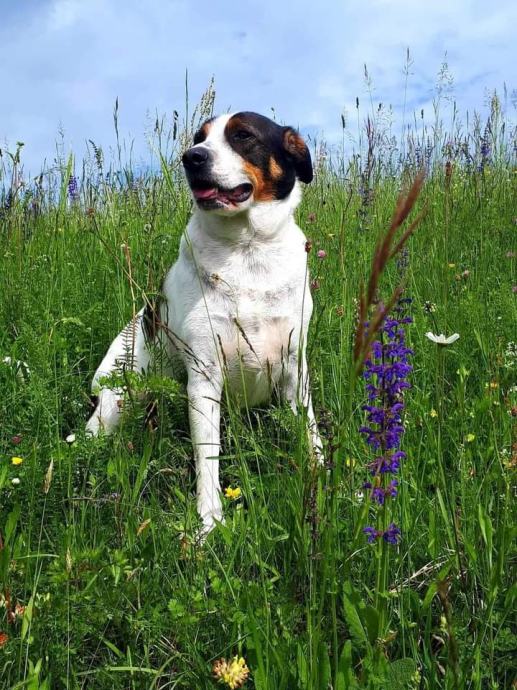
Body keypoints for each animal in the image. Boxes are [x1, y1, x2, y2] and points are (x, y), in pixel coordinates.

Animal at [87, 110, 322, 536]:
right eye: (199, 138)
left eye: (243, 136)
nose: (191, 158)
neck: (248, 251)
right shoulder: (204, 378)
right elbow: (207, 458)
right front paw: (210, 523)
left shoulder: (296, 369)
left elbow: (312, 434)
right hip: (115, 403)